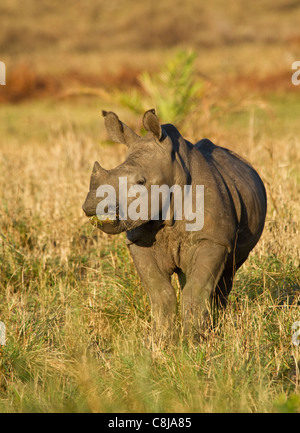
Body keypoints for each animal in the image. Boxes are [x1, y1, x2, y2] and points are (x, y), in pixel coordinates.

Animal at [82, 109, 268, 338]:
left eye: (140, 182)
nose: (93, 204)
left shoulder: (213, 240)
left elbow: (197, 290)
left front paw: (192, 340)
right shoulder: (139, 240)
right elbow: (160, 292)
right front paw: (161, 339)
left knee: (226, 276)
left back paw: (217, 327)